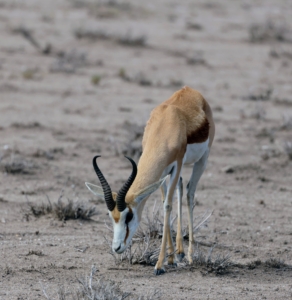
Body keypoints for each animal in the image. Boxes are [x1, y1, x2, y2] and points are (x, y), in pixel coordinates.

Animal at [85, 85, 213, 276]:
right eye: (111, 215)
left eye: (129, 216)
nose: (117, 248)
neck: (166, 126)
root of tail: (190, 90)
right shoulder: (162, 173)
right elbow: (165, 201)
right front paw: (171, 259)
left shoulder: (177, 164)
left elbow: (167, 205)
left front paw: (159, 265)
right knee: (181, 187)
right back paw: (180, 252)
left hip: (202, 160)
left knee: (190, 193)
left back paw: (190, 255)